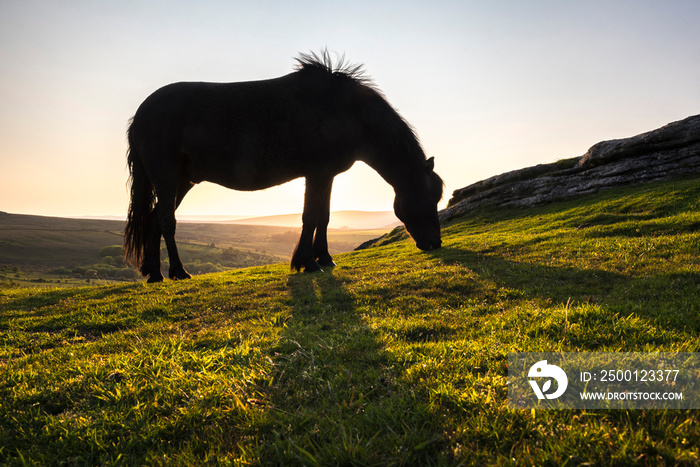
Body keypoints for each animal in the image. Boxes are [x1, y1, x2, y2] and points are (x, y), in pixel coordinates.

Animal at [124, 50, 442, 282]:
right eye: (428, 197)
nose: (435, 243)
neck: (344, 110)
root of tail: (140, 114)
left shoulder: (327, 176)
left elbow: (324, 217)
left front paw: (324, 258)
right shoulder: (317, 174)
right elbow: (310, 217)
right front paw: (307, 262)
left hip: (182, 181)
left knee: (154, 218)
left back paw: (154, 273)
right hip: (167, 177)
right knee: (166, 220)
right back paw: (178, 271)